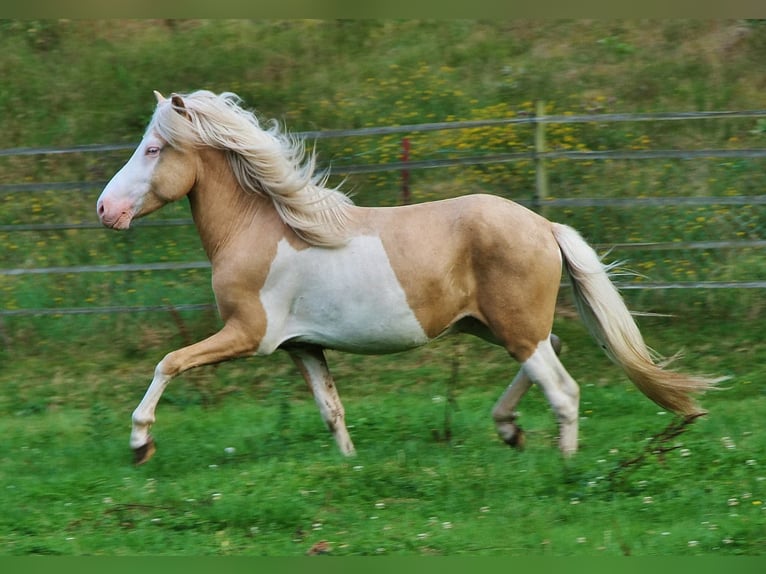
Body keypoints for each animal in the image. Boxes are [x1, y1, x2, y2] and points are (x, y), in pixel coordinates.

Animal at [97, 90, 716, 465]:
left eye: (153, 148)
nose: (106, 210)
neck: (260, 228)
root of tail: (543, 225)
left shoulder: (248, 335)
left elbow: (169, 362)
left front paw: (140, 442)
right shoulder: (303, 346)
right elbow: (331, 409)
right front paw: (350, 467)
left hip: (514, 329)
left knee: (563, 390)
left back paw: (564, 469)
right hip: (494, 326)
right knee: (553, 353)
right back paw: (508, 428)